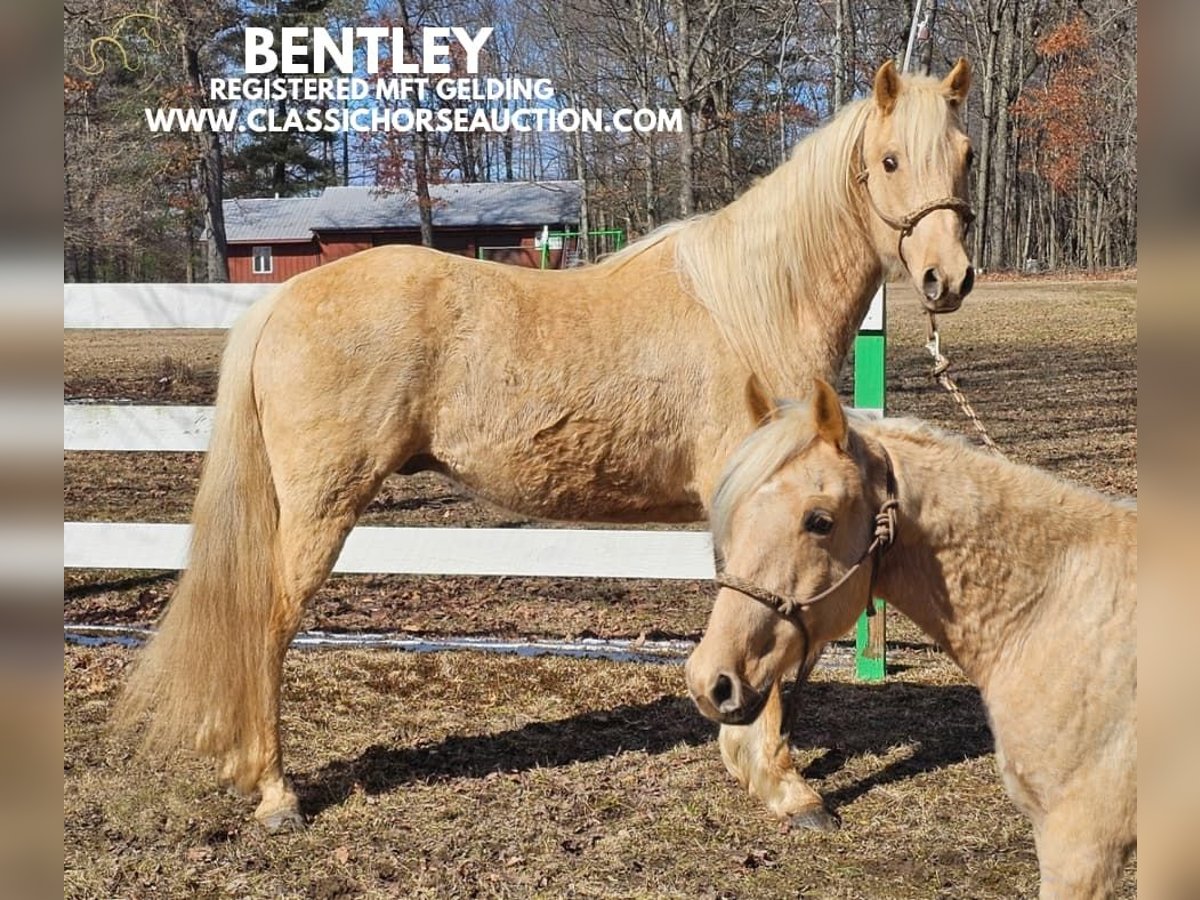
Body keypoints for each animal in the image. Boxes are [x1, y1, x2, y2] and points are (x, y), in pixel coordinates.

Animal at [117, 60, 974, 835]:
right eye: (890, 160)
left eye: (965, 153)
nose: (949, 278)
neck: (750, 305)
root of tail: (286, 296)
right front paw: (787, 789)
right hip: (321, 507)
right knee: (267, 627)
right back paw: (277, 797)